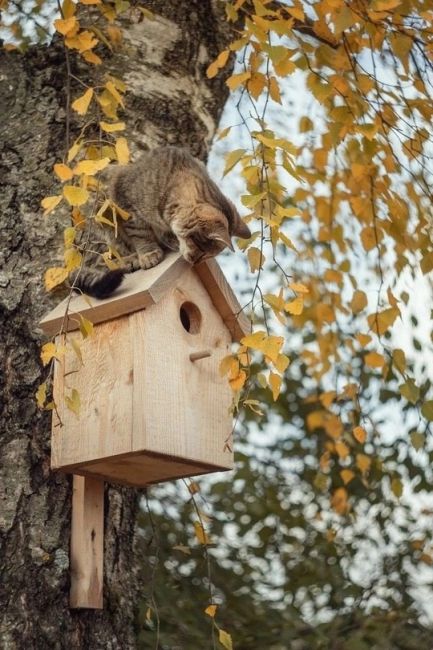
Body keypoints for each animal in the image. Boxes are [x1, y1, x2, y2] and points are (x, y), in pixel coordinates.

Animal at [73, 146, 251, 298]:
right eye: (201, 249)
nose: (194, 262)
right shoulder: (127, 205)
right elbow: (141, 234)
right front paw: (149, 253)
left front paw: (170, 240)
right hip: (101, 219)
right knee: (103, 258)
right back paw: (130, 259)